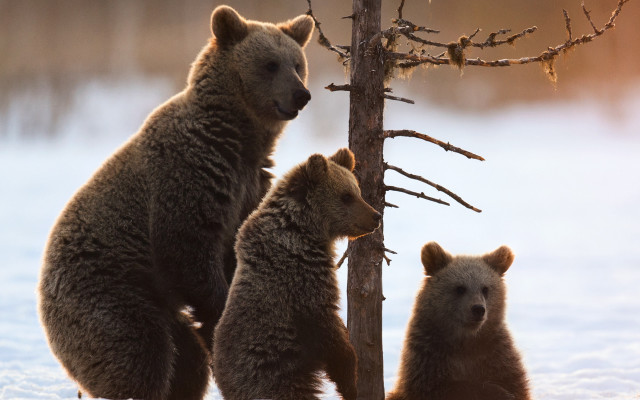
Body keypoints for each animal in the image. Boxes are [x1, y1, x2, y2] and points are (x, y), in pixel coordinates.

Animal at [37, 6, 314, 400]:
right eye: (270, 64)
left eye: (297, 63)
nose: (300, 95)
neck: (237, 138)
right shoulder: (189, 174)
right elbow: (187, 248)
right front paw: (222, 312)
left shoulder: (248, 186)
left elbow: (235, 251)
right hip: (108, 295)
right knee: (138, 355)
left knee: (185, 364)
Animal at [212, 148, 382, 400]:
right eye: (346, 196)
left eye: (358, 192)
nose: (376, 216)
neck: (303, 231)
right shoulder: (301, 281)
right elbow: (328, 332)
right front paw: (350, 380)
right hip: (270, 374)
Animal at [386, 242, 531, 400]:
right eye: (460, 288)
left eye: (485, 288)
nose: (478, 309)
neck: (464, 340)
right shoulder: (428, 357)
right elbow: (438, 387)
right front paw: (495, 391)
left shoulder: (496, 353)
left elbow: (515, 383)